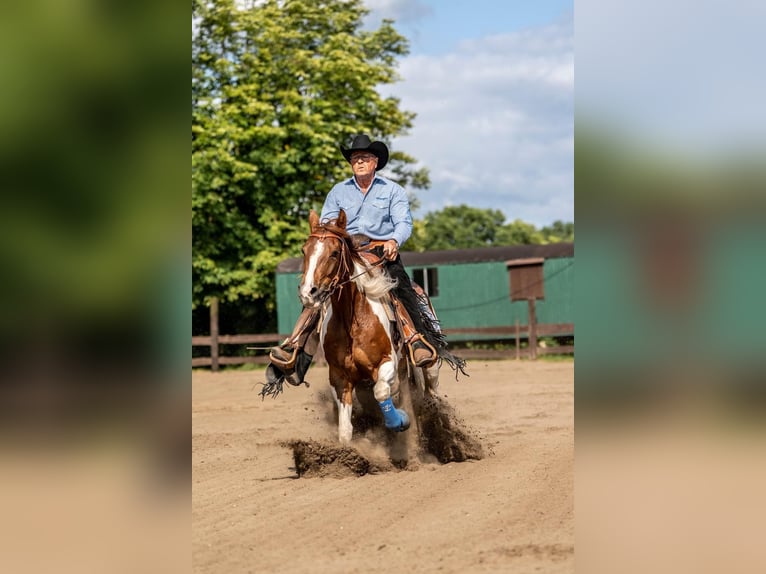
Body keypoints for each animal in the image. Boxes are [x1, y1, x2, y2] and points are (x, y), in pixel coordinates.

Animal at [298, 209, 440, 445]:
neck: (352, 321)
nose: (309, 293)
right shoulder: (340, 377)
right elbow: (345, 430)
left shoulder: (387, 362)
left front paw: (399, 421)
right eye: (304, 250)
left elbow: (382, 392)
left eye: (334, 252)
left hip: (428, 366)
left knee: (430, 393)